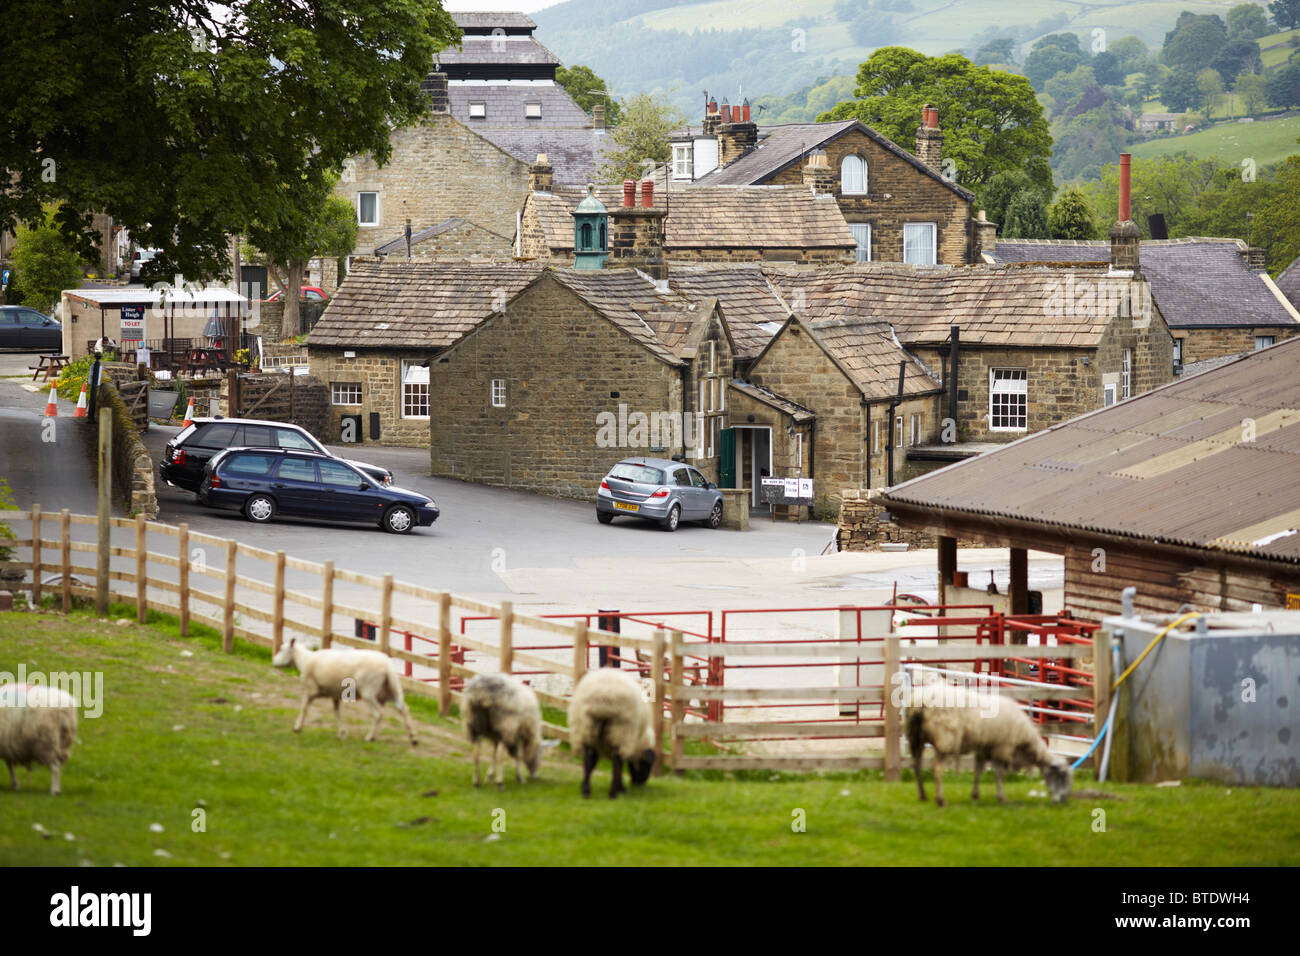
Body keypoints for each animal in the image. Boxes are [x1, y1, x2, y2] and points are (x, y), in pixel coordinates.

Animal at [273, 639, 416, 749]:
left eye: (281, 649)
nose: (273, 662)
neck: (305, 661)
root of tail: (387, 666)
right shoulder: (335, 694)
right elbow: (337, 712)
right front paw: (342, 733)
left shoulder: (311, 690)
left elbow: (304, 708)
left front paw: (297, 728)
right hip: (392, 689)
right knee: (404, 709)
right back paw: (413, 739)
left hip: (369, 692)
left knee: (378, 714)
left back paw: (370, 737)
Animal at [569, 665, 655, 801]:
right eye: (647, 764)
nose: (640, 784)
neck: (639, 741)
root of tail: (604, 696)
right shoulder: (628, 740)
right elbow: (621, 763)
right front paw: (622, 787)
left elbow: (593, 761)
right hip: (620, 729)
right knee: (616, 759)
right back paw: (613, 793)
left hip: (587, 726)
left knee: (588, 758)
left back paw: (586, 790)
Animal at [904, 681, 1076, 806]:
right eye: (1062, 775)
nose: (1063, 801)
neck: (1024, 741)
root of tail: (921, 701)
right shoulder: (1002, 746)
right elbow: (998, 773)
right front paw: (1002, 797)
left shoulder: (984, 747)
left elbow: (979, 770)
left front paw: (975, 795)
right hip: (946, 738)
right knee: (936, 767)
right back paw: (940, 799)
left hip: (914, 737)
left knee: (916, 765)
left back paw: (923, 795)